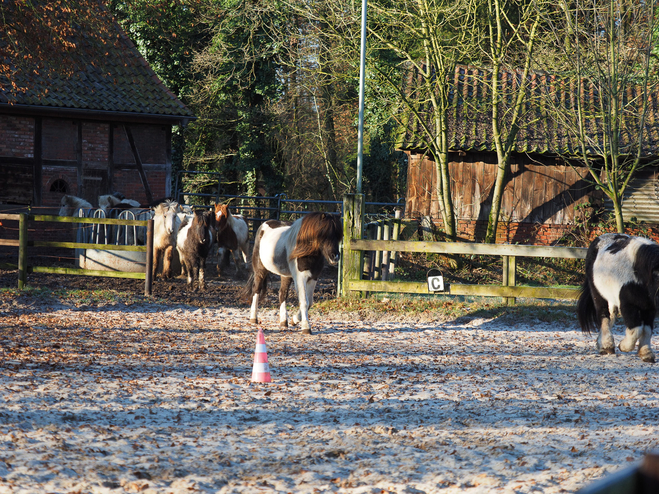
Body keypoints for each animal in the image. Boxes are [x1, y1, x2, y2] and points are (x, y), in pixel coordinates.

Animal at [580, 232, 656, 362]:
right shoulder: (627, 306)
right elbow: (636, 330)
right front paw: (623, 346)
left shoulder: (649, 308)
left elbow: (647, 330)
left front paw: (646, 353)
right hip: (598, 295)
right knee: (604, 316)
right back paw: (607, 346)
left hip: (611, 298)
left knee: (610, 316)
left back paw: (601, 344)